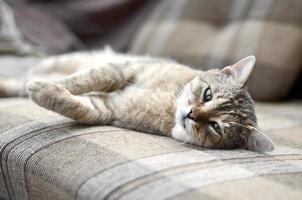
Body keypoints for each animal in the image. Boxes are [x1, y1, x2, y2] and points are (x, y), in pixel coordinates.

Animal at [0, 48, 274, 152]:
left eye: (216, 127)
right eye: (207, 95)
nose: (192, 114)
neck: (168, 104)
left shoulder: (107, 109)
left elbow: (77, 105)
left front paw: (44, 91)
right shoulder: (125, 70)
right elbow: (82, 81)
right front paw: (54, 84)